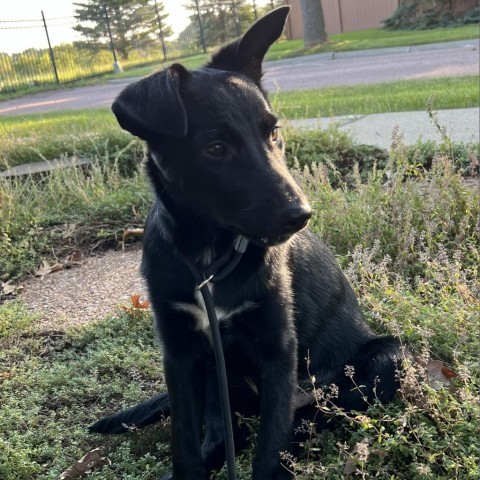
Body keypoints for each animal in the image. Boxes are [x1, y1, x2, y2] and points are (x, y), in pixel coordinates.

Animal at [88, 7, 400, 480]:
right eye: (216, 148)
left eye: (273, 132)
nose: (301, 214)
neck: (210, 260)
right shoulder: (180, 354)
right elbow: (185, 442)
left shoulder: (278, 351)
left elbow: (271, 446)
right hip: (219, 378)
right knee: (225, 431)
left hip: (387, 357)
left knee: (309, 417)